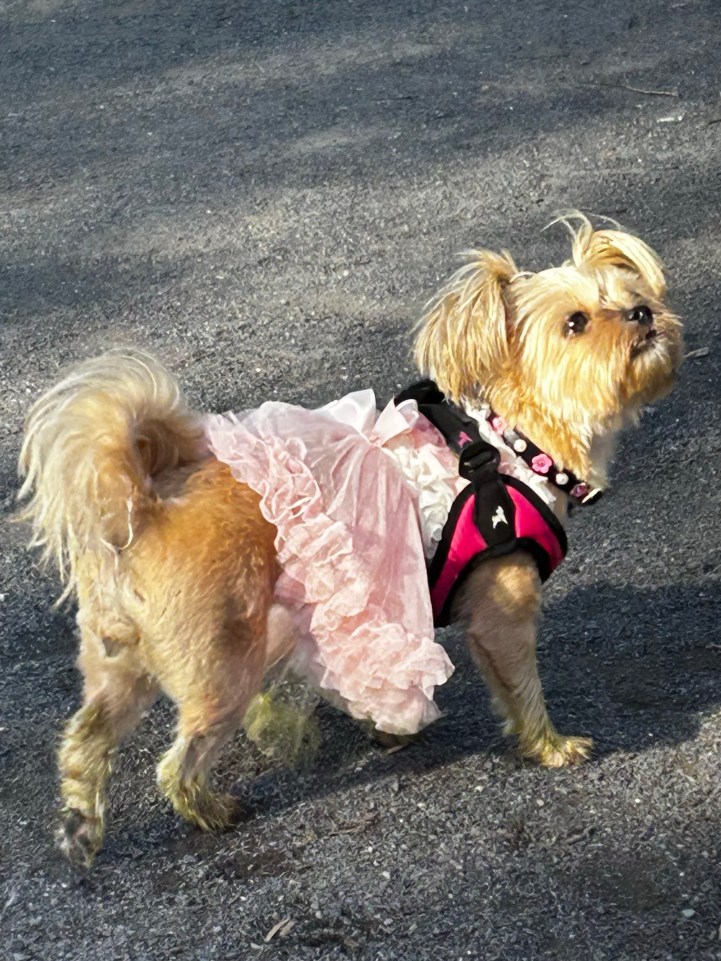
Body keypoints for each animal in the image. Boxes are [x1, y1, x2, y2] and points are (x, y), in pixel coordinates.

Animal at [17, 215, 683, 865]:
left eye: (632, 295)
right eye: (576, 322)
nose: (641, 314)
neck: (512, 446)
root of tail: (145, 506)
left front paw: (389, 729)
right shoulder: (503, 616)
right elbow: (522, 688)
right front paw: (548, 745)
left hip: (120, 667)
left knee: (85, 743)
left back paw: (81, 827)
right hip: (220, 672)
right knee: (176, 765)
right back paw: (210, 810)